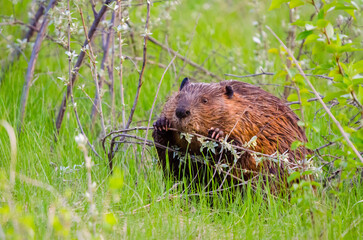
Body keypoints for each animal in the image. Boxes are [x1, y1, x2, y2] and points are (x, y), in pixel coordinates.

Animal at [153, 78, 312, 192]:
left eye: (205, 100)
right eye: (178, 96)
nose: (181, 111)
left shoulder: (251, 125)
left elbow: (241, 155)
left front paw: (217, 135)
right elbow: (170, 162)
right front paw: (162, 124)